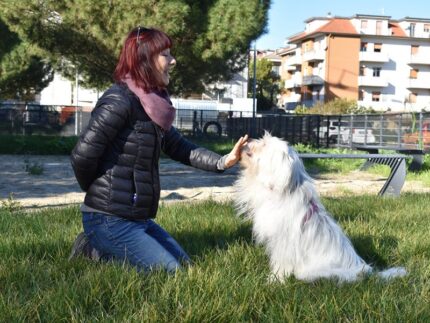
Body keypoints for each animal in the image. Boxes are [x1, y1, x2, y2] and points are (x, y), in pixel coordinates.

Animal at [235, 133, 406, 282]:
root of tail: (366, 271)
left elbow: (281, 263)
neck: (281, 191)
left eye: (264, 144)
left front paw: (275, 280)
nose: (248, 139)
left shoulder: (283, 242)